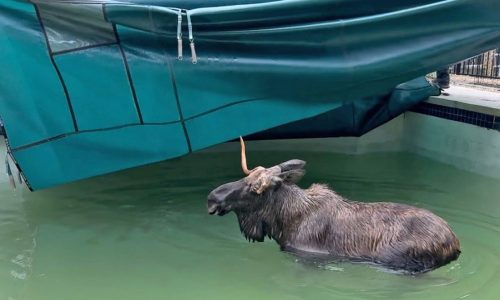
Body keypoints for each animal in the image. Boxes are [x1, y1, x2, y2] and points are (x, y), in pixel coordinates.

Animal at [207, 137, 460, 274]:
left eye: (253, 188)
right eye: (246, 179)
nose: (212, 198)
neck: (283, 221)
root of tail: (455, 243)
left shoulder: (308, 258)